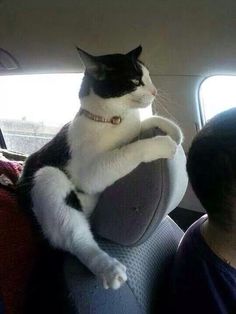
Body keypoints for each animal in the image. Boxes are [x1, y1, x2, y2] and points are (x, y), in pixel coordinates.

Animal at [18, 46, 183, 290]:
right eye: (136, 80)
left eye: (149, 76)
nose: (154, 91)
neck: (113, 120)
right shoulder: (91, 173)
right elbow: (132, 149)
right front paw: (163, 144)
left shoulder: (131, 128)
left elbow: (144, 123)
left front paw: (173, 130)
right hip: (48, 177)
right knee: (76, 238)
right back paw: (107, 267)